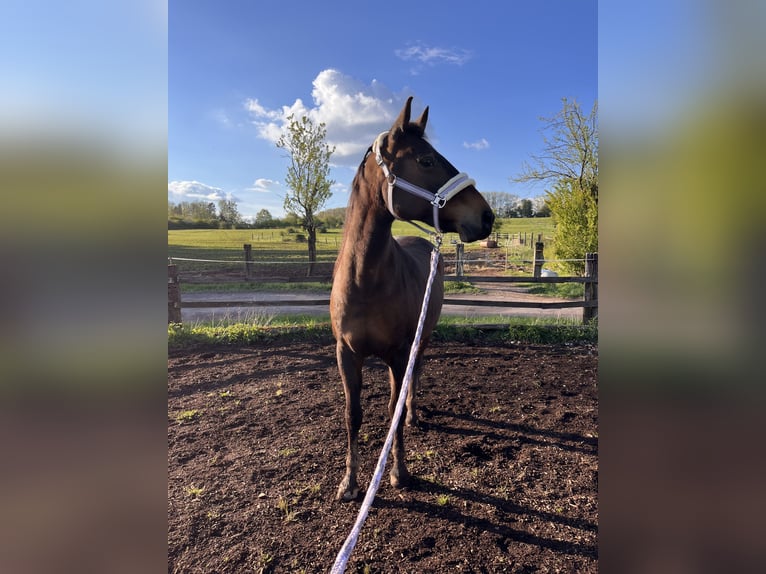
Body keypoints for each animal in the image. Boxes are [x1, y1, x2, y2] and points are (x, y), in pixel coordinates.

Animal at [330, 97, 494, 501]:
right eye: (426, 160)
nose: (486, 216)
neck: (365, 281)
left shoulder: (399, 351)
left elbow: (393, 410)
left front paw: (398, 473)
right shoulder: (346, 354)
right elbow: (352, 415)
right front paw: (349, 483)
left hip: (423, 337)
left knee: (415, 378)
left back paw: (415, 416)